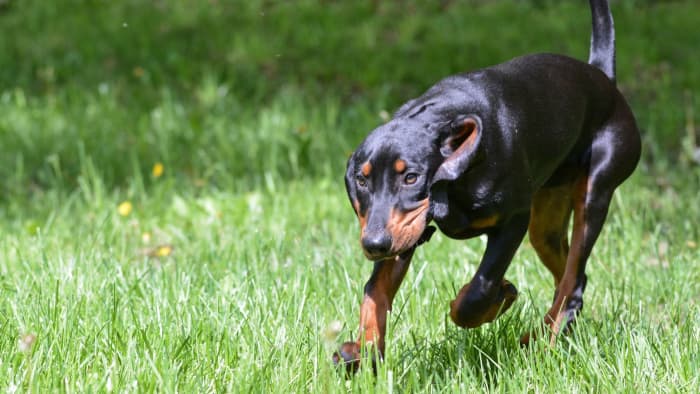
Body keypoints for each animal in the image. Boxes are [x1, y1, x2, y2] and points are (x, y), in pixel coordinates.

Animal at [332, 0, 640, 374]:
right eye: (362, 180)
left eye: (411, 177)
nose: (374, 244)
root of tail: (603, 79)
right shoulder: (404, 232)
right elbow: (374, 290)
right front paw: (360, 350)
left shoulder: (514, 219)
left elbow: (480, 288)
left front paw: (500, 296)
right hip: (546, 222)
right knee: (571, 276)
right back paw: (540, 336)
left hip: (596, 190)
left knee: (573, 278)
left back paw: (543, 340)